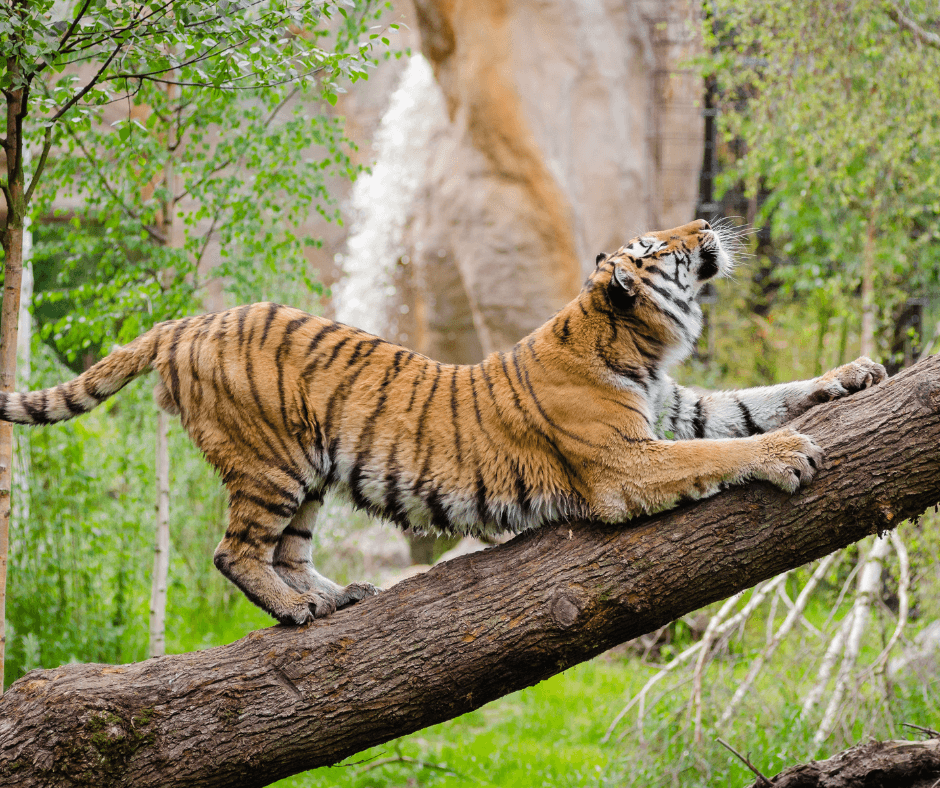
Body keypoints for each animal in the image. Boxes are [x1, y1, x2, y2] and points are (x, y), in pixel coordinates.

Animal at [0, 219, 886, 625]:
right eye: (659, 248)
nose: (703, 225)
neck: (637, 346)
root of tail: (189, 321)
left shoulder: (678, 407)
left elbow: (755, 400)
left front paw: (853, 374)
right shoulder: (624, 464)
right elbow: (725, 449)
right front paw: (789, 454)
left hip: (310, 473)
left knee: (289, 550)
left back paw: (339, 596)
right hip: (272, 463)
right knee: (236, 552)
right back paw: (296, 611)